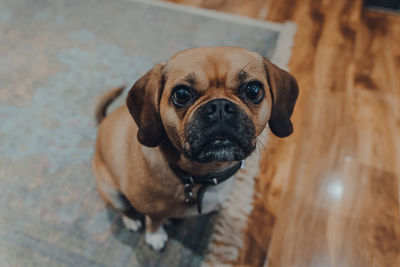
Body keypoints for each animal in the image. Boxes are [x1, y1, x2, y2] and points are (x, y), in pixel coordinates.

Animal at [92, 46, 298, 251]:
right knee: (124, 208)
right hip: (113, 193)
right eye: (181, 94)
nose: (220, 106)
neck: (204, 177)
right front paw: (155, 235)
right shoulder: (151, 209)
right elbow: (154, 220)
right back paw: (132, 220)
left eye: (254, 90)